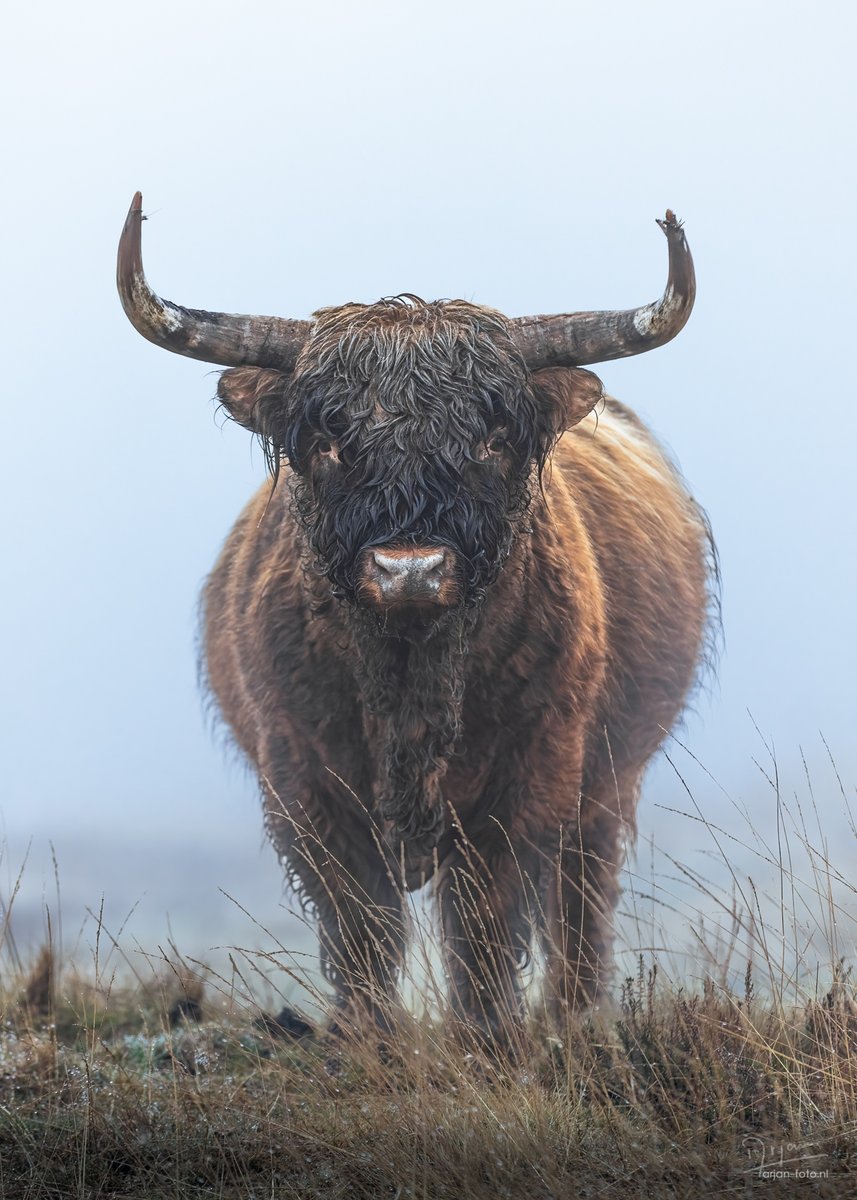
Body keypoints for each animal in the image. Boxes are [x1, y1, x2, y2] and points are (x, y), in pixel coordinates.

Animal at [117, 194, 714, 1054]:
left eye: (490, 440)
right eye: (328, 439)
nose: (410, 569)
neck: (407, 684)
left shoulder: (532, 770)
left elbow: (485, 916)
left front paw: (487, 1037)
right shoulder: (303, 781)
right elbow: (359, 920)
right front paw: (366, 1036)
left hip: (607, 780)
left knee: (579, 897)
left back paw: (576, 1015)